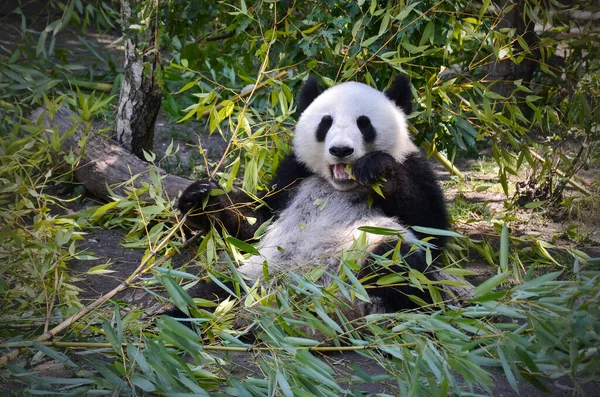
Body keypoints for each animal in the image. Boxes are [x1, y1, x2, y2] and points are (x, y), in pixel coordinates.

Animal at [178, 73, 474, 316]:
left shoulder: (414, 166)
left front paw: (377, 169)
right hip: (252, 277)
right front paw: (201, 196)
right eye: (326, 122)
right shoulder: (293, 173)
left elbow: (431, 230)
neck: (339, 186)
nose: (341, 150)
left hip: (363, 258)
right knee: (204, 299)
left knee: (399, 263)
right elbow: (256, 223)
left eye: (364, 124)